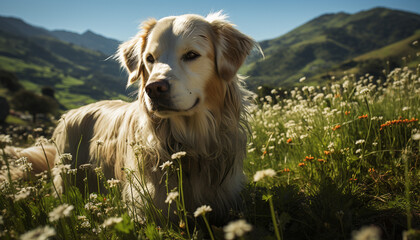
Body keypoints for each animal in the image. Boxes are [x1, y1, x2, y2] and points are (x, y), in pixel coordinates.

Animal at [5, 11, 256, 225]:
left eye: (191, 55)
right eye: (149, 58)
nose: (153, 89)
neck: (188, 144)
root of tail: (71, 112)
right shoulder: (146, 206)